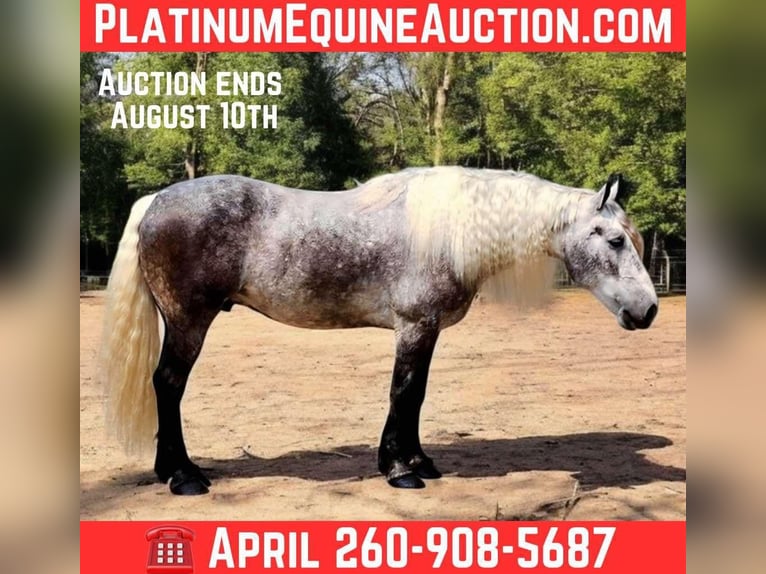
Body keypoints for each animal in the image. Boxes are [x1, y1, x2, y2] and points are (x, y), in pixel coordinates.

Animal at [100, 166, 658, 495]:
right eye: (613, 240)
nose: (648, 310)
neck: (448, 232)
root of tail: (155, 200)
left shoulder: (427, 330)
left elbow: (416, 395)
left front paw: (418, 460)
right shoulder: (413, 327)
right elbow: (403, 392)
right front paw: (400, 471)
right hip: (188, 321)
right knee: (168, 385)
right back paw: (183, 476)